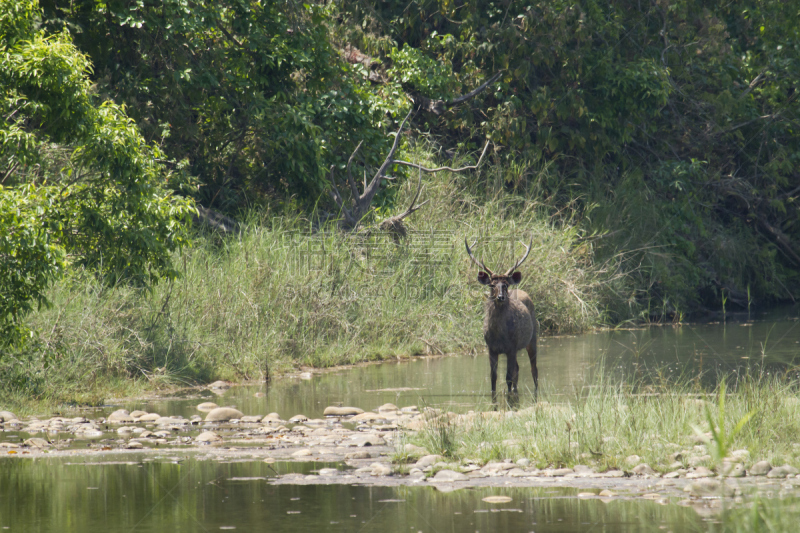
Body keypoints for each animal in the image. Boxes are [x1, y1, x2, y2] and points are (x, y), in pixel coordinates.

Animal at [466, 239, 540, 392]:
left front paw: (509, 394)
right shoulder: (491, 348)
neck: (499, 335)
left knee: (533, 369)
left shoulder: (511, 347)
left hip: (533, 337)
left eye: (506, 284)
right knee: (518, 369)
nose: (501, 297)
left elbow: (507, 377)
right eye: (491, 285)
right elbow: (493, 378)